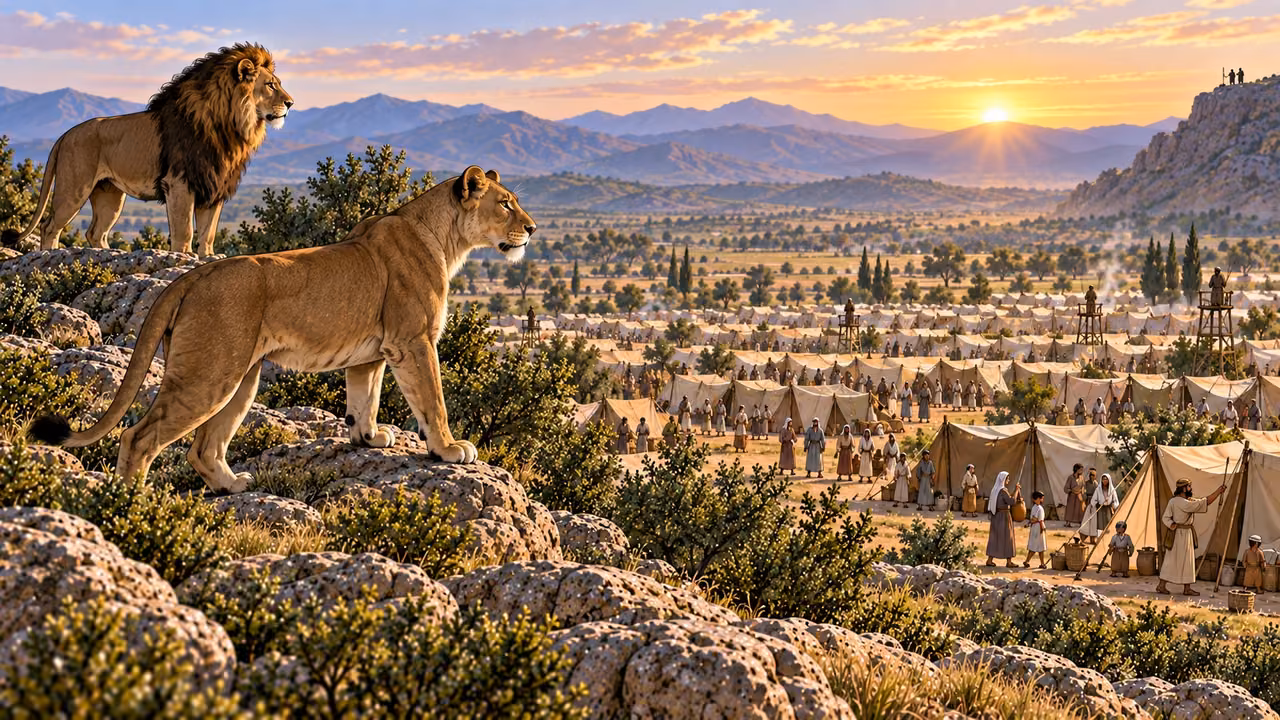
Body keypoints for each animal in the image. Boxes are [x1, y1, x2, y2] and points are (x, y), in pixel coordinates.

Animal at [1, 43, 292, 256]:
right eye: (270, 84)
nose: (291, 103)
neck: (230, 126)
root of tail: (65, 134)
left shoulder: (214, 186)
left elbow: (208, 233)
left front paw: (208, 258)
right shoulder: (179, 183)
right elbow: (184, 230)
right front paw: (183, 257)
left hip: (110, 195)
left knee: (95, 232)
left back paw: (110, 255)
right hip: (74, 188)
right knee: (49, 226)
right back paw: (48, 256)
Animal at [31, 166, 536, 493]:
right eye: (505, 204)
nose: (531, 229)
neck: (446, 239)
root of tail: (191, 276)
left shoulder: (374, 353)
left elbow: (364, 399)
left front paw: (368, 438)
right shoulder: (413, 341)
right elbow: (432, 400)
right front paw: (449, 449)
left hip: (241, 377)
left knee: (203, 447)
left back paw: (232, 486)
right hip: (209, 376)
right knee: (139, 438)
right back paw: (133, 505)